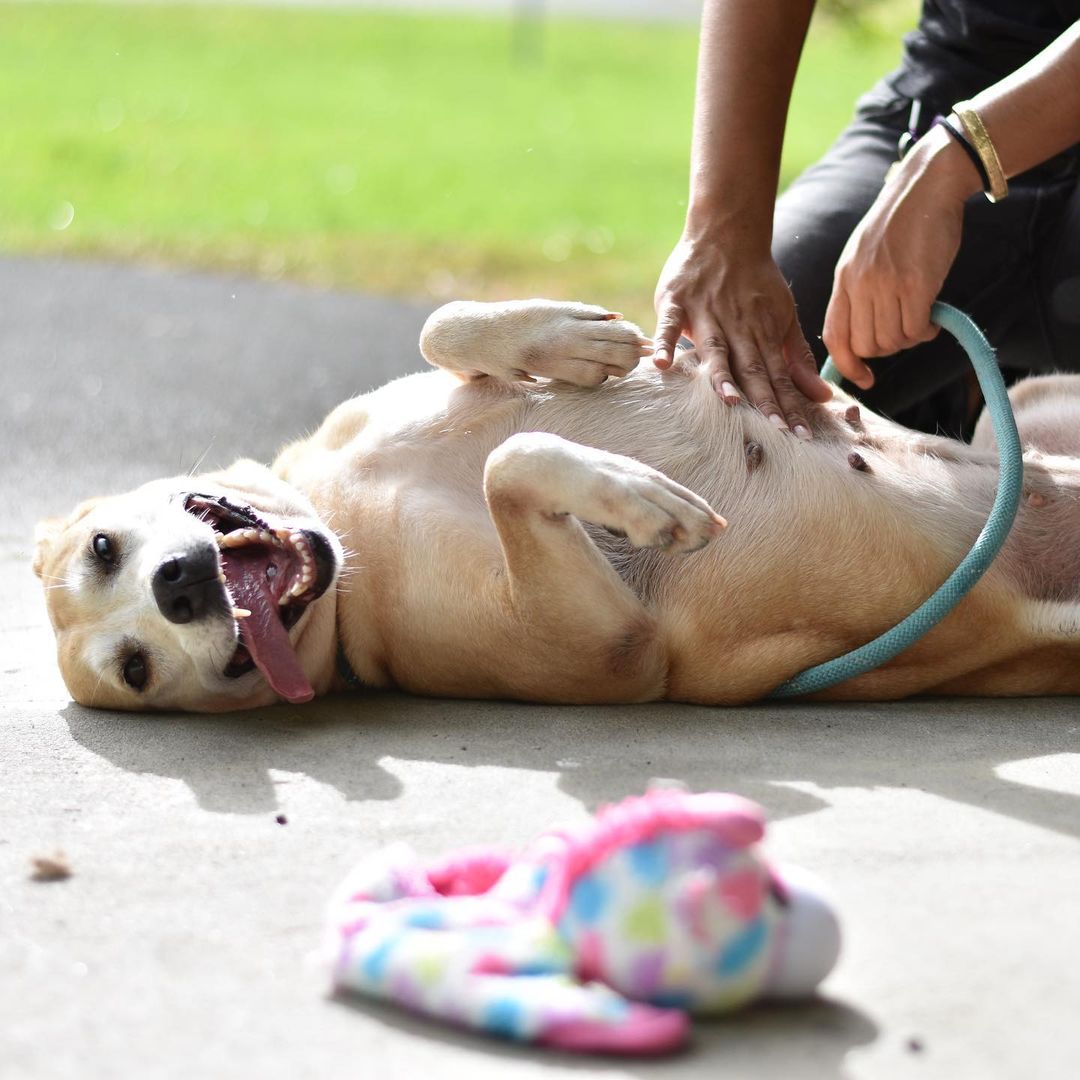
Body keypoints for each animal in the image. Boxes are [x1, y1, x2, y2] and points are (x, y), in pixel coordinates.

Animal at [29, 300, 1080, 712]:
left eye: (103, 547)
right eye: (135, 668)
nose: (177, 585)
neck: (344, 518)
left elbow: (443, 328)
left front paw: (564, 339)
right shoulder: (611, 645)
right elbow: (512, 464)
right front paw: (639, 498)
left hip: (1035, 400)